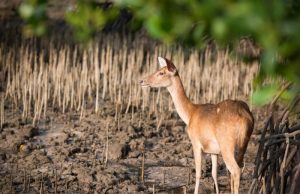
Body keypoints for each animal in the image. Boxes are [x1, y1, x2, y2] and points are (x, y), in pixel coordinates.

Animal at [139, 57, 254, 194]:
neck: (190, 114)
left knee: (235, 170)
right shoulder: (214, 150)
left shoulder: (195, 142)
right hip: (243, 144)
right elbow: (214, 173)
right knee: (238, 168)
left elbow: (198, 173)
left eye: (161, 73)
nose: (142, 81)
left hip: (227, 143)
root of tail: (246, 117)